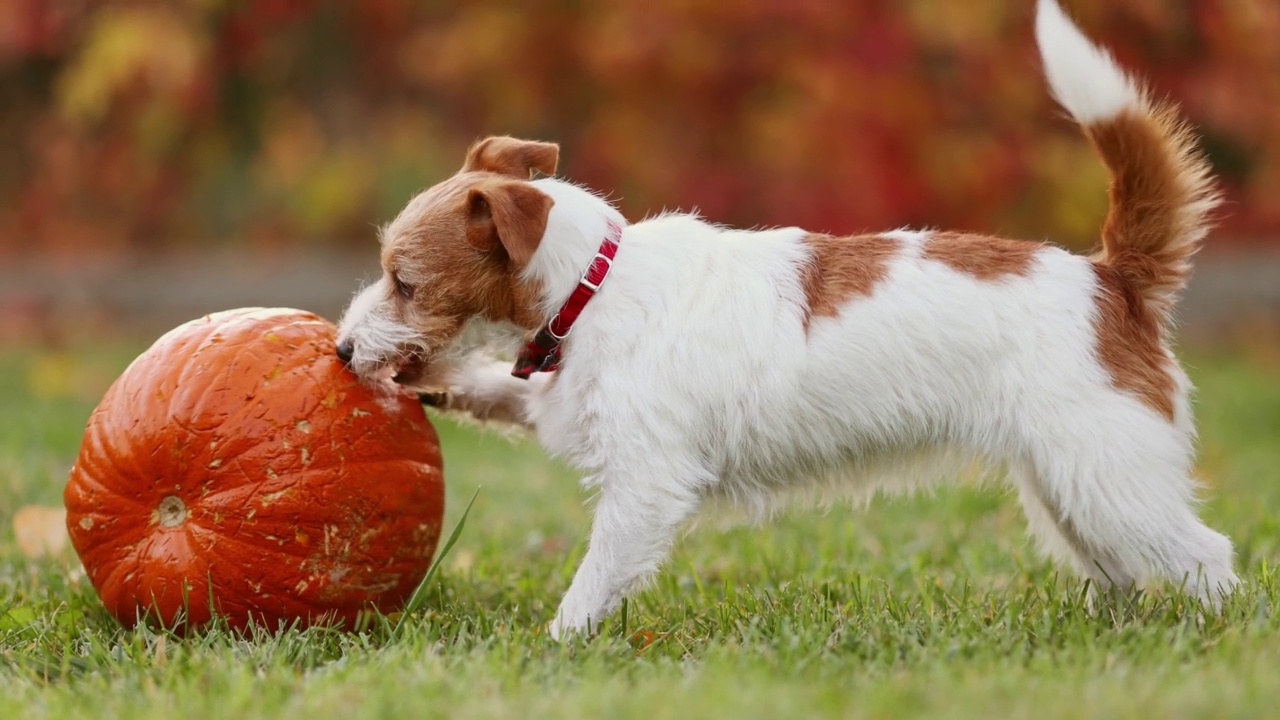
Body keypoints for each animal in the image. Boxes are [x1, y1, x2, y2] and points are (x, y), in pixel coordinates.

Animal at [335, 0, 1233, 638]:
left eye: (404, 281)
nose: (343, 349)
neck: (594, 284)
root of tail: (1113, 278)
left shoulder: (645, 484)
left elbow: (591, 584)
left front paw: (553, 648)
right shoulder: (562, 401)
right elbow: (504, 390)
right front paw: (449, 384)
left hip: (1109, 478)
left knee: (1207, 559)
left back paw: (1214, 635)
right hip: (1069, 486)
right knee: (1121, 574)